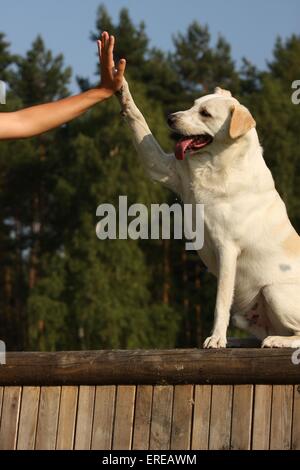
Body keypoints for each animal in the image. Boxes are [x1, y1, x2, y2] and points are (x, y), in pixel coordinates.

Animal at [117, 80, 300, 346]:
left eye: (205, 114)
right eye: (193, 105)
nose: (170, 118)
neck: (216, 164)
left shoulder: (227, 249)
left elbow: (220, 302)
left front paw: (215, 339)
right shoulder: (162, 168)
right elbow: (139, 120)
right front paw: (121, 89)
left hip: (272, 290)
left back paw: (276, 340)